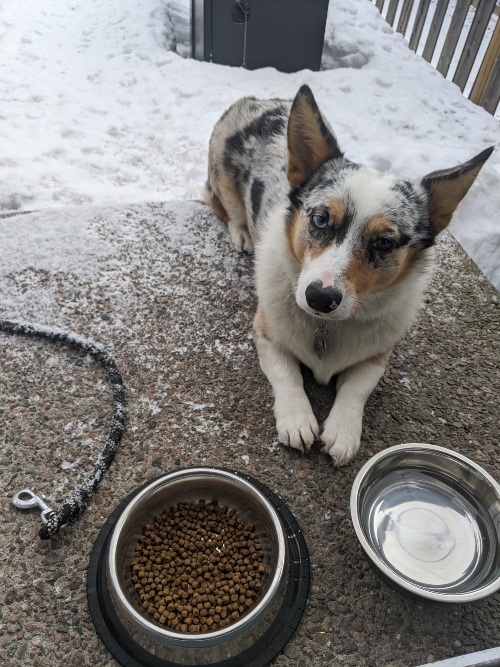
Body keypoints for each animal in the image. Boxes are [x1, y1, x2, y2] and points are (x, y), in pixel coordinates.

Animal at [204, 86, 492, 468]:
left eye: (384, 242)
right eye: (320, 219)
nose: (319, 298)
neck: (328, 328)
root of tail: (257, 99)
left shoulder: (378, 356)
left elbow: (356, 388)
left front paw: (342, 431)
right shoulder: (265, 335)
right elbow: (286, 374)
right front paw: (297, 419)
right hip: (223, 178)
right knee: (229, 209)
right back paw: (241, 234)